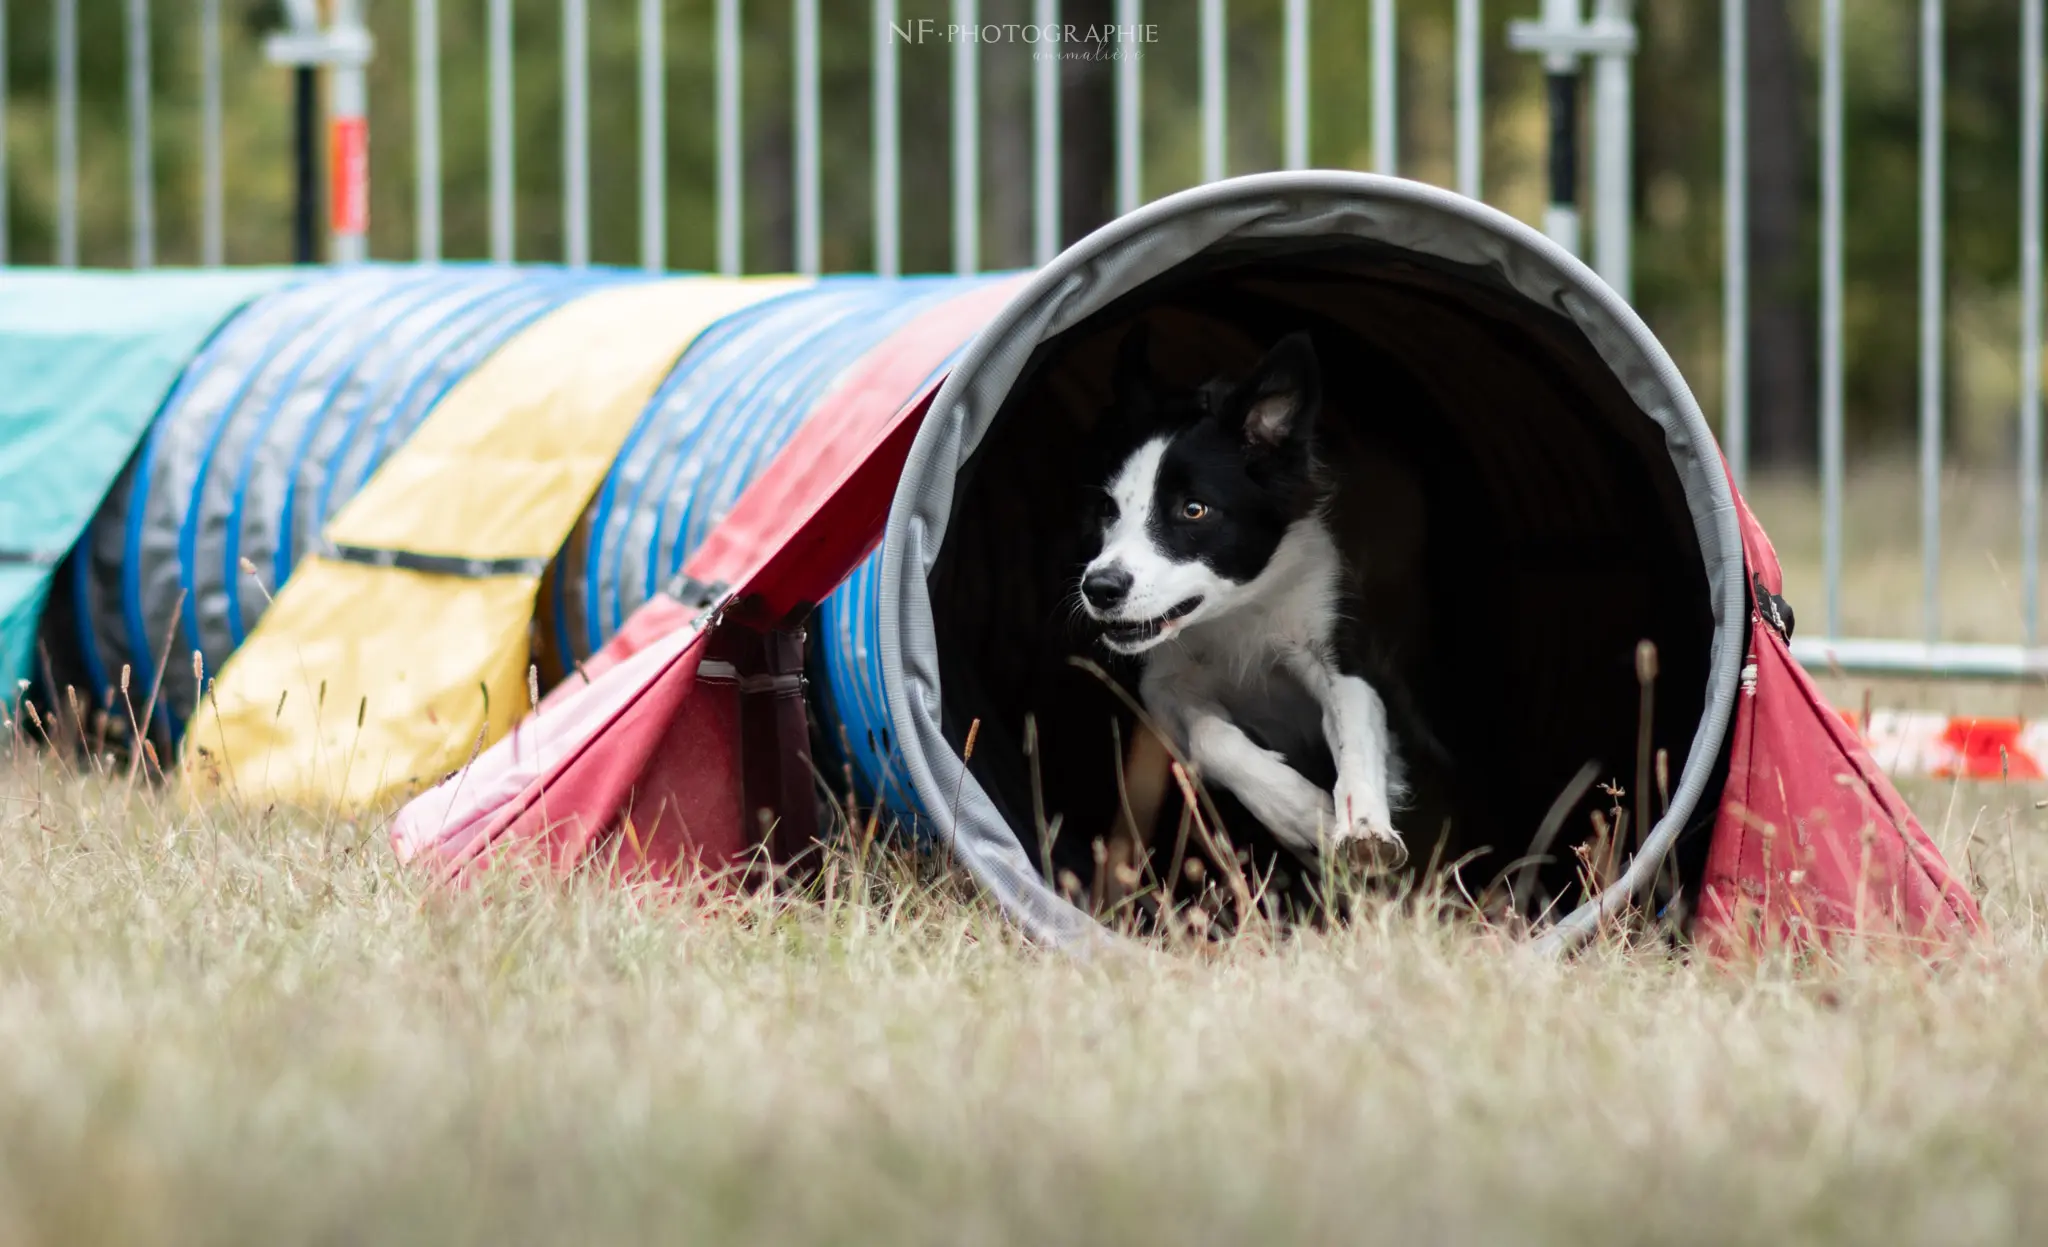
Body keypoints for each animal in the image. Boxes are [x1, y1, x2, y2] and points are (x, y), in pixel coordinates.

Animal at [1081, 323, 1400, 864]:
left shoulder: (1335, 649)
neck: (1240, 609)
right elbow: (1209, 736)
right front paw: (1303, 812)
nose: (1098, 588)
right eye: (1108, 508)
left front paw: (1363, 827)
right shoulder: (1162, 682)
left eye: (1194, 509)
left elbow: (1355, 725)